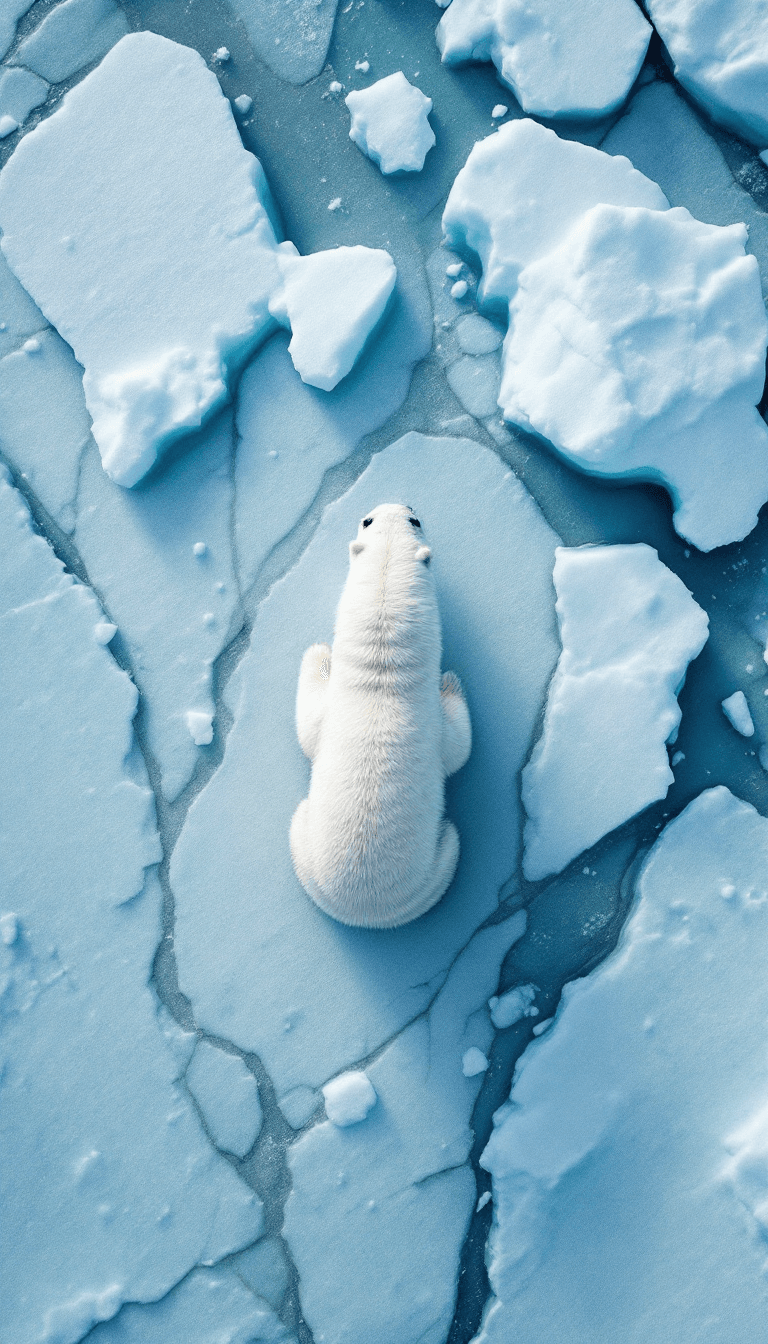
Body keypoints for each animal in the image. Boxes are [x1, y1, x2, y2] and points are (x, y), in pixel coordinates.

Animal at [289, 502, 472, 928]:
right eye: (368, 520)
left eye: (414, 520)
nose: (399, 504)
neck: (383, 667)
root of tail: (364, 911)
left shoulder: (429, 719)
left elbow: (459, 749)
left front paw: (450, 681)